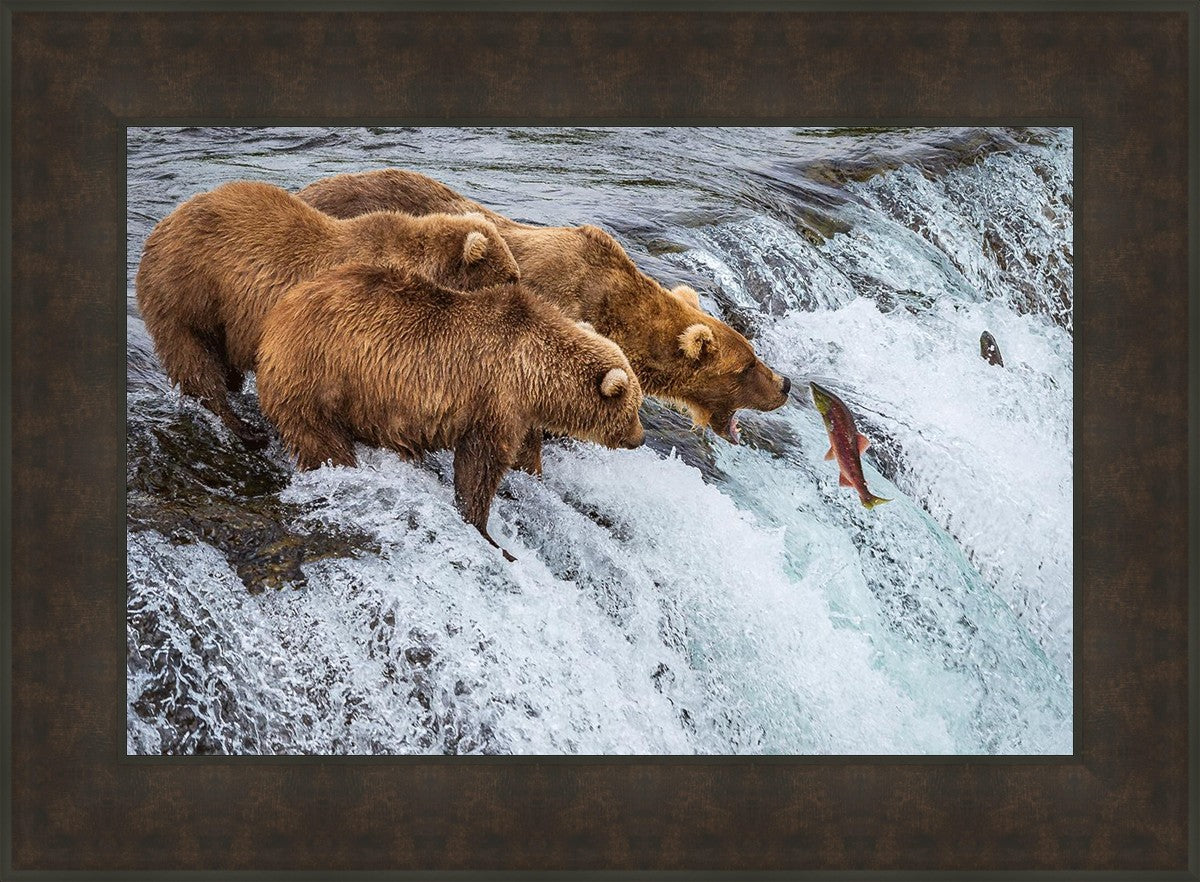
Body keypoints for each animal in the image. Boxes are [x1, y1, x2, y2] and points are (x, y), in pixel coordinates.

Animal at [135, 180, 520, 449]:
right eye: (510, 276)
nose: (521, 288)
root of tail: (163, 224)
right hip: (188, 292)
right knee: (194, 361)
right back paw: (244, 428)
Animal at [256, 262, 646, 560]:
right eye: (634, 408)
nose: (640, 438)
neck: (535, 373)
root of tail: (277, 316)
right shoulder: (494, 397)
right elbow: (480, 466)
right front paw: (488, 533)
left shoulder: (519, 412)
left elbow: (524, 453)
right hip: (319, 377)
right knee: (321, 439)